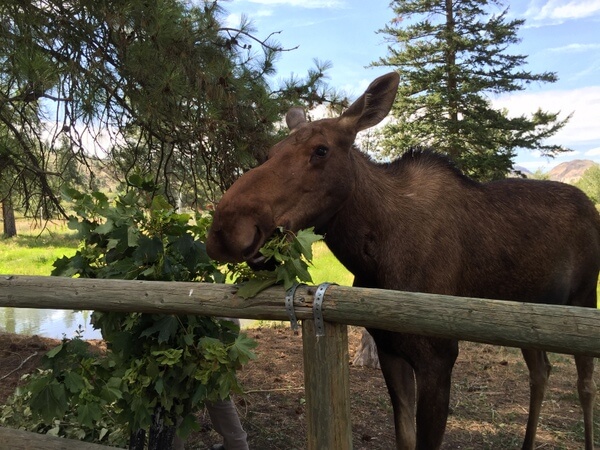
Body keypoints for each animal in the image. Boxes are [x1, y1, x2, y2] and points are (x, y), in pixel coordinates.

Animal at [204, 74, 596, 450]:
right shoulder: (390, 351)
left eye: (321, 150)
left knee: (585, 384)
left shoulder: (439, 357)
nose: (226, 228)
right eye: (271, 152)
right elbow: (404, 438)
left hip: (583, 297)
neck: (372, 258)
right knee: (541, 370)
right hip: (531, 310)